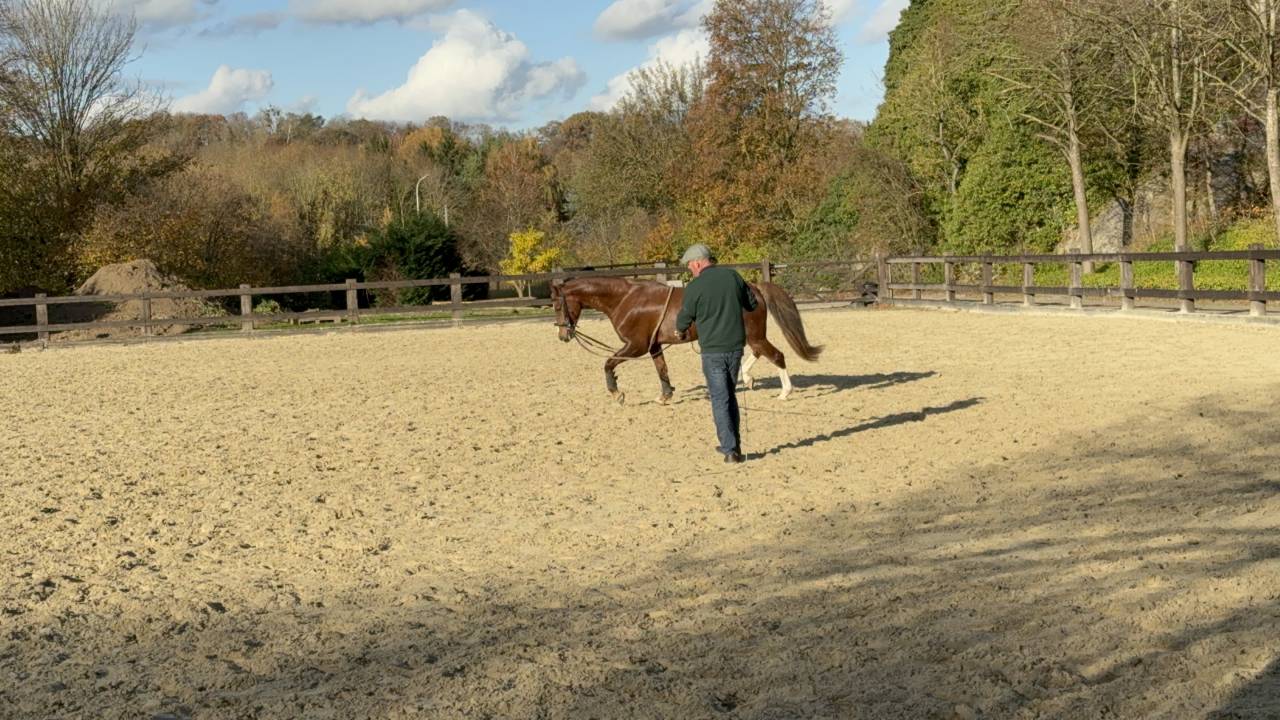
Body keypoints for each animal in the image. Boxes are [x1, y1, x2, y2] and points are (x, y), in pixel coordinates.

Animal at [550, 275, 822, 405]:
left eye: (557, 305)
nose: (563, 335)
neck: (625, 298)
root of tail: (753, 287)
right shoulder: (653, 346)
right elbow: (662, 370)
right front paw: (665, 395)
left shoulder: (636, 346)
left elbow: (608, 363)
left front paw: (617, 394)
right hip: (750, 335)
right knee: (758, 352)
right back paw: (748, 378)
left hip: (754, 334)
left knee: (775, 355)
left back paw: (785, 392)